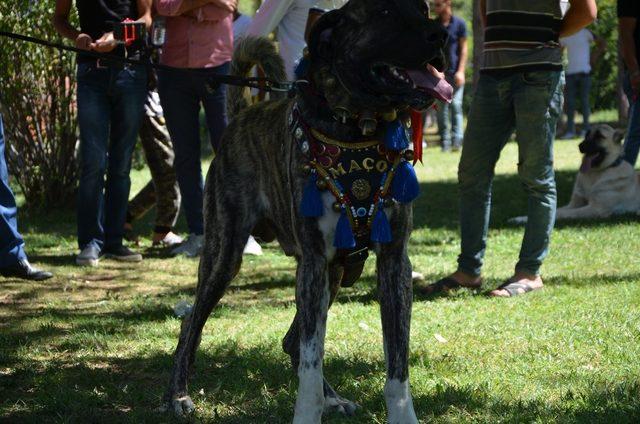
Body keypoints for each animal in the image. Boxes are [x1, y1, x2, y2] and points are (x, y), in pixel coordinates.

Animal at [162, 1, 448, 422]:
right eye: (382, 12)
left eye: (423, 8)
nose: (440, 35)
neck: (357, 127)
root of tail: (243, 114)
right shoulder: (312, 262)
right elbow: (312, 362)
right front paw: (309, 409)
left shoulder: (394, 262)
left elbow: (397, 366)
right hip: (224, 255)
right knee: (191, 326)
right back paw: (179, 394)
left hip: (337, 270)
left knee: (291, 341)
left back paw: (335, 397)